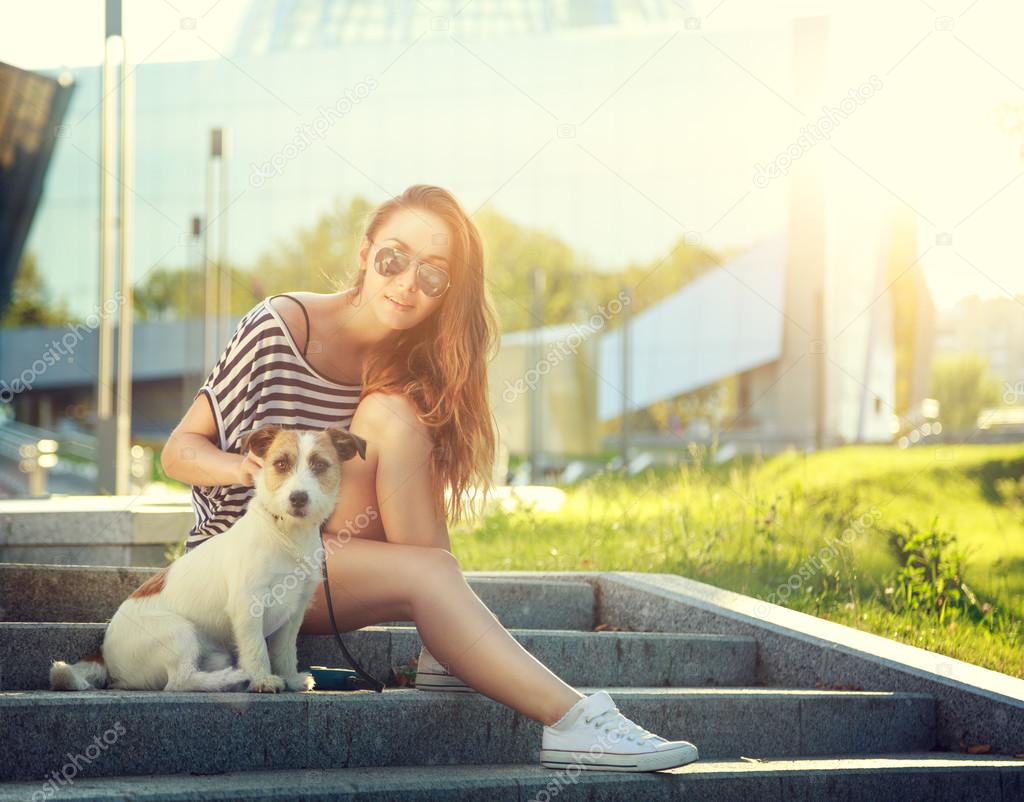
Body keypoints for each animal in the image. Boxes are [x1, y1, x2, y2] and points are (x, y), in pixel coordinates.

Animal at [49, 426, 368, 696]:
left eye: (319, 465)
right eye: (280, 464)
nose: (298, 498)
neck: (285, 532)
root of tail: (103, 653)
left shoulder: (294, 612)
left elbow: (284, 651)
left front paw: (289, 677)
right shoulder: (247, 605)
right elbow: (256, 649)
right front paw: (262, 679)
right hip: (177, 631)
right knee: (179, 682)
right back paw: (229, 679)